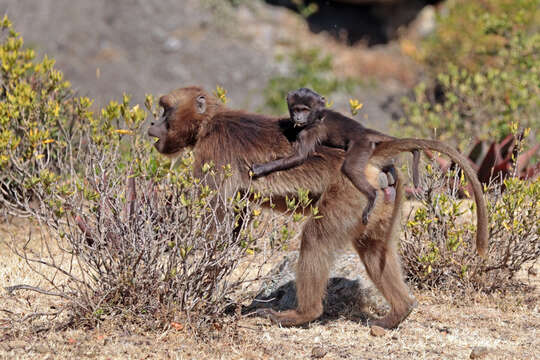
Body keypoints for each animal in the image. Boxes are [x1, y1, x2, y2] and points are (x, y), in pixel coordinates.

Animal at [251, 88, 420, 224]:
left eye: (304, 110)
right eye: (296, 109)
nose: (298, 118)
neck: (317, 116)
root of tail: (364, 131)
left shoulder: (311, 130)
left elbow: (299, 157)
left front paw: (260, 168)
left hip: (361, 145)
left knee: (351, 168)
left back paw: (372, 196)